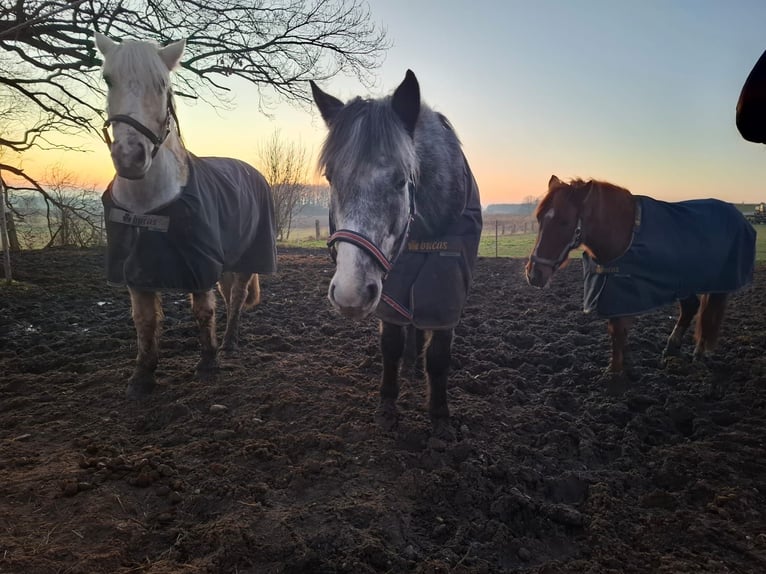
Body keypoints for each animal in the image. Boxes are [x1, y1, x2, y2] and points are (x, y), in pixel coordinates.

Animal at [95, 33, 277, 398]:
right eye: (108, 79)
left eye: (163, 84)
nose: (130, 157)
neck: (148, 206)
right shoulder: (136, 270)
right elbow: (145, 321)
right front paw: (142, 377)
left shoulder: (199, 265)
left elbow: (203, 311)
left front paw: (208, 364)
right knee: (230, 293)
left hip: (248, 256)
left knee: (236, 297)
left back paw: (229, 343)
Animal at [310, 70, 482, 436]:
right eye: (331, 178)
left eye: (402, 180)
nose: (350, 294)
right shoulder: (393, 282)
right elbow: (391, 343)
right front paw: (388, 405)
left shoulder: (448, 284)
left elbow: (439, 354)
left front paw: (439, 416)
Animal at [526, 175, 755, 378]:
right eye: (538, 219)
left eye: (565, 222)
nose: (534, 274)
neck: (624, 235)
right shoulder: (614, 291)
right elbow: (618, 330)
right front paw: (625, 365)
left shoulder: (625, 293)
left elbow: (618, 330)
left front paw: (614, 373)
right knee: (691, 307)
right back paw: (672, 347)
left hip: (719, 283)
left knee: (708, 316)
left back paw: (698, 353)